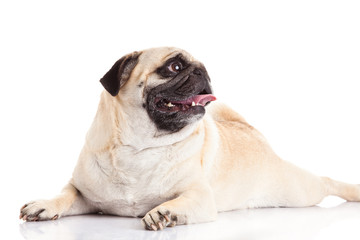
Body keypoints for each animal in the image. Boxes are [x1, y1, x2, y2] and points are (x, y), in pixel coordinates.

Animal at [20, 47, 360, 231]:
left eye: (199, 67)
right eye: (175, 67)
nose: (202, 71)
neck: (139, 147)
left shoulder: (198, 195)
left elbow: (178, 200)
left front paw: (164, 212)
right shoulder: (83, 192)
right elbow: (65, 194)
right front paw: (44, 205)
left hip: (298, 191)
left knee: (326, 181)